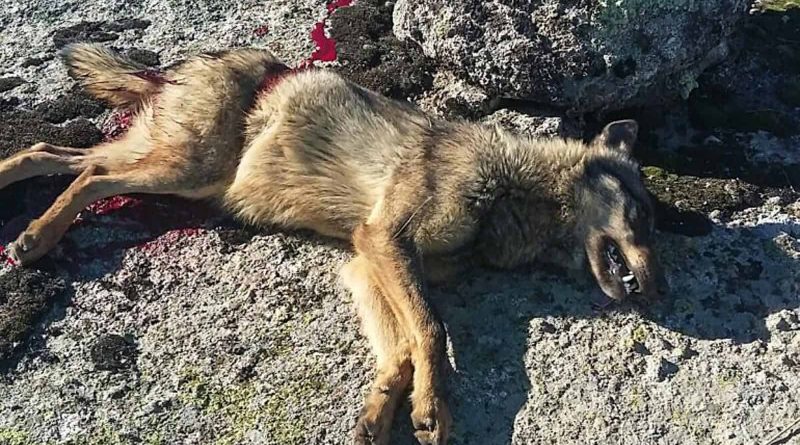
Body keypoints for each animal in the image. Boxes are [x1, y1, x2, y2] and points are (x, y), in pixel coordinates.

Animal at [0, 44, 668, 444]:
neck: (511, 190)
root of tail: (179, 66)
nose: (661, 291)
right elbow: (431, 332)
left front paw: (380, 413)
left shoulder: (367, 263)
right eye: (641, 216)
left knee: (52, 153)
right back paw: (36, 236)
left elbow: (401, 348)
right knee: (91, 175)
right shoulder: (386, 241)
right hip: (184, 172)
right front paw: (434, 409)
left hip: (173, 166)